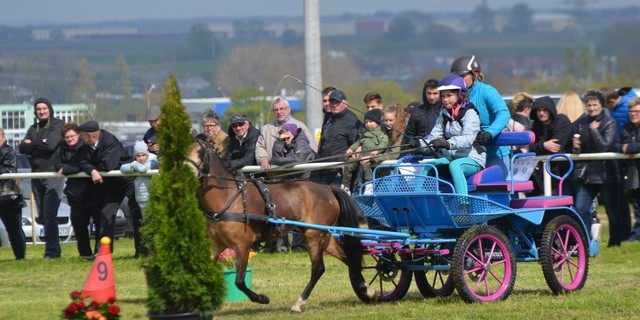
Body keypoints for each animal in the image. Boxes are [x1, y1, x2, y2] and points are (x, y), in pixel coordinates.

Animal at [185, 139, 376, 312]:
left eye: (200, 152)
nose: (186, 172)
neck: (229, 196)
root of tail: (328, 189)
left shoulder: (242, 245)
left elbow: (239, 281)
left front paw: (262, 298)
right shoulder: (216, 245)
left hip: (313, 235)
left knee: (318, 269)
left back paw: (299, 304)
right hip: (324, 236)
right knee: (348, 258)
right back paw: (367, 290)